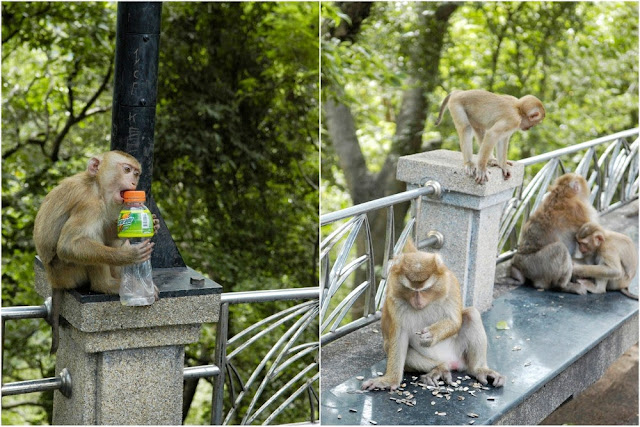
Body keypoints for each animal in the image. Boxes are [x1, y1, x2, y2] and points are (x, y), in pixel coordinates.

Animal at [33, 150, 161, 354]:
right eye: (127, 170)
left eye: (136, 174)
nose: (134, 183)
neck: (96, 187)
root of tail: (55, 280)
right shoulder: (90, 205)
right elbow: (69, 245)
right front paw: (129, 256)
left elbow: (113, 233)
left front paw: (153, 224)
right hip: (66, 270)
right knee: (90, 240)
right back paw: (107, 285)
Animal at [360, 241, 504, 392]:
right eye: (411, 290)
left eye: (425, 289)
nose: (418, 302)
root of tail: (452, 361)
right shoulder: (393, 296)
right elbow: (399, 336)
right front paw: (390, 380)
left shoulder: (450, 284)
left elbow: (455, 321)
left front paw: (432, 335)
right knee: (391, 346)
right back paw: (439, 369)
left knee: (471, 314)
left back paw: (478, 369)